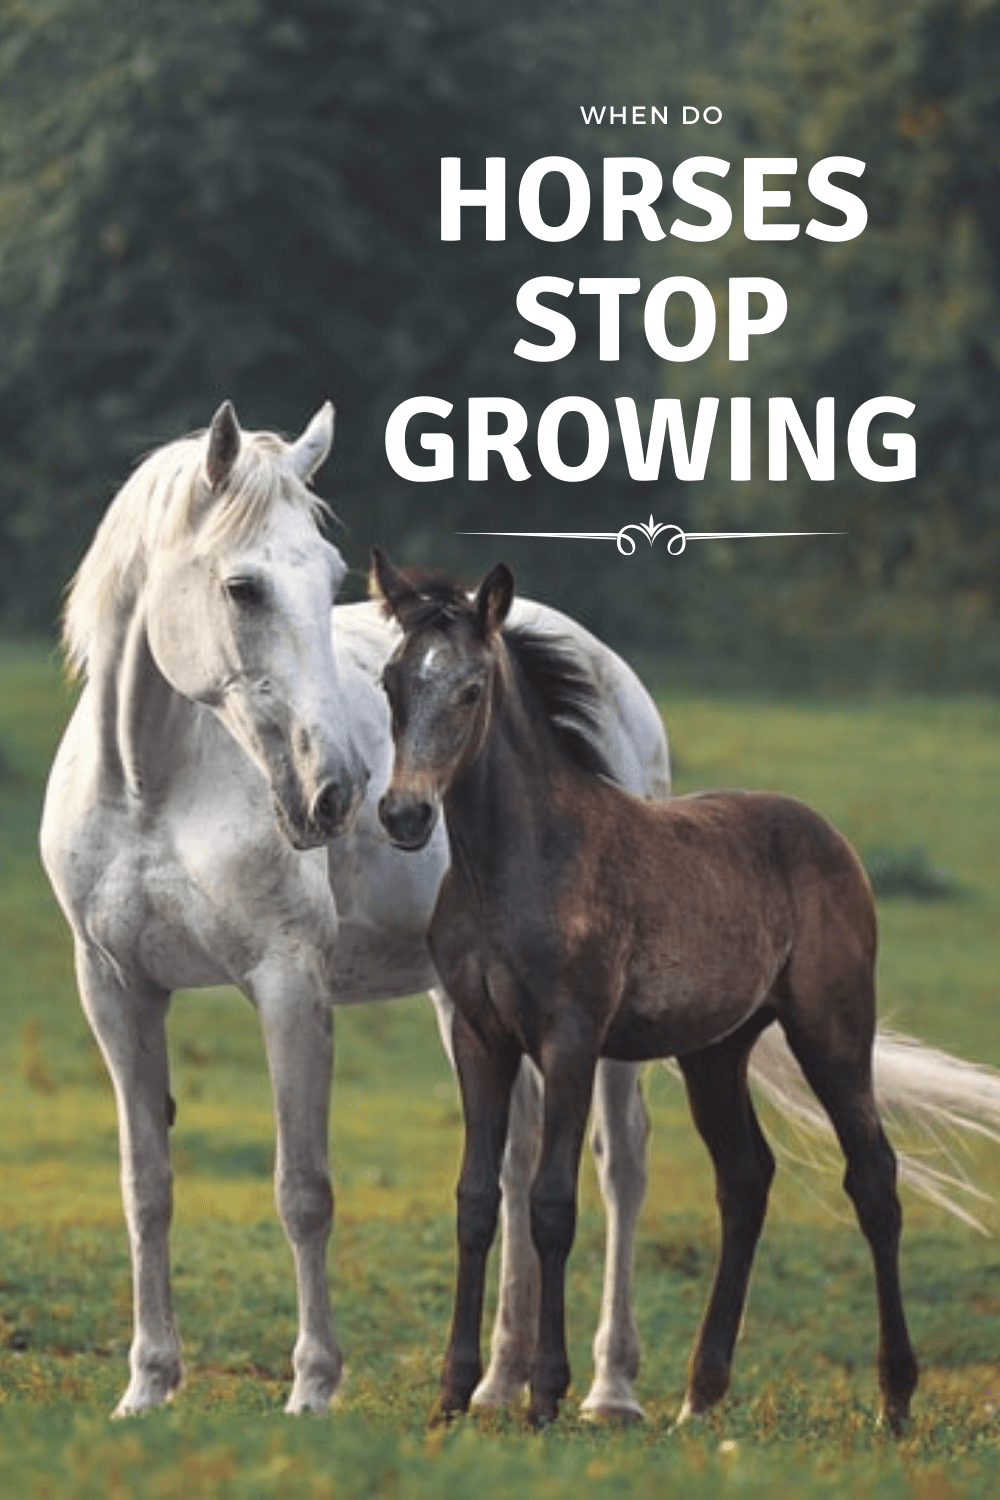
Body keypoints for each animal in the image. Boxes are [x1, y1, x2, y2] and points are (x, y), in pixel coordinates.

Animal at [40, 401, 671, 1419]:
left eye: (331, 576)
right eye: (243, 587)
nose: (336, 791)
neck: (152, 788)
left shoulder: (288, 985)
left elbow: (304, 1190)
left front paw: (312, 1387)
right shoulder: (116, 989)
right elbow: (147, 1186)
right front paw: (148, 1385)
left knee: (623, 1164)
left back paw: (611, 1389)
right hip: (469, 1001)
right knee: (516, 1155)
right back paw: (497, 1384)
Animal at [371, 547, 927, 1432]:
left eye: (471, 689)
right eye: (392, 682)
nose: (404, 814)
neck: (514, 864)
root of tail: (829, 836)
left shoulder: (570, 1036)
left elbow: (552, 1203)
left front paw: (546, 1395)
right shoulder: (479, 1035)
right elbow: (475, 1201)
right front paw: (454, 1395)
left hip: (833, 1028)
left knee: (873, 1177)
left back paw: (895, 1402)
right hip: (715, 1052)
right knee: (745, 1180)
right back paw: (700, 1397)